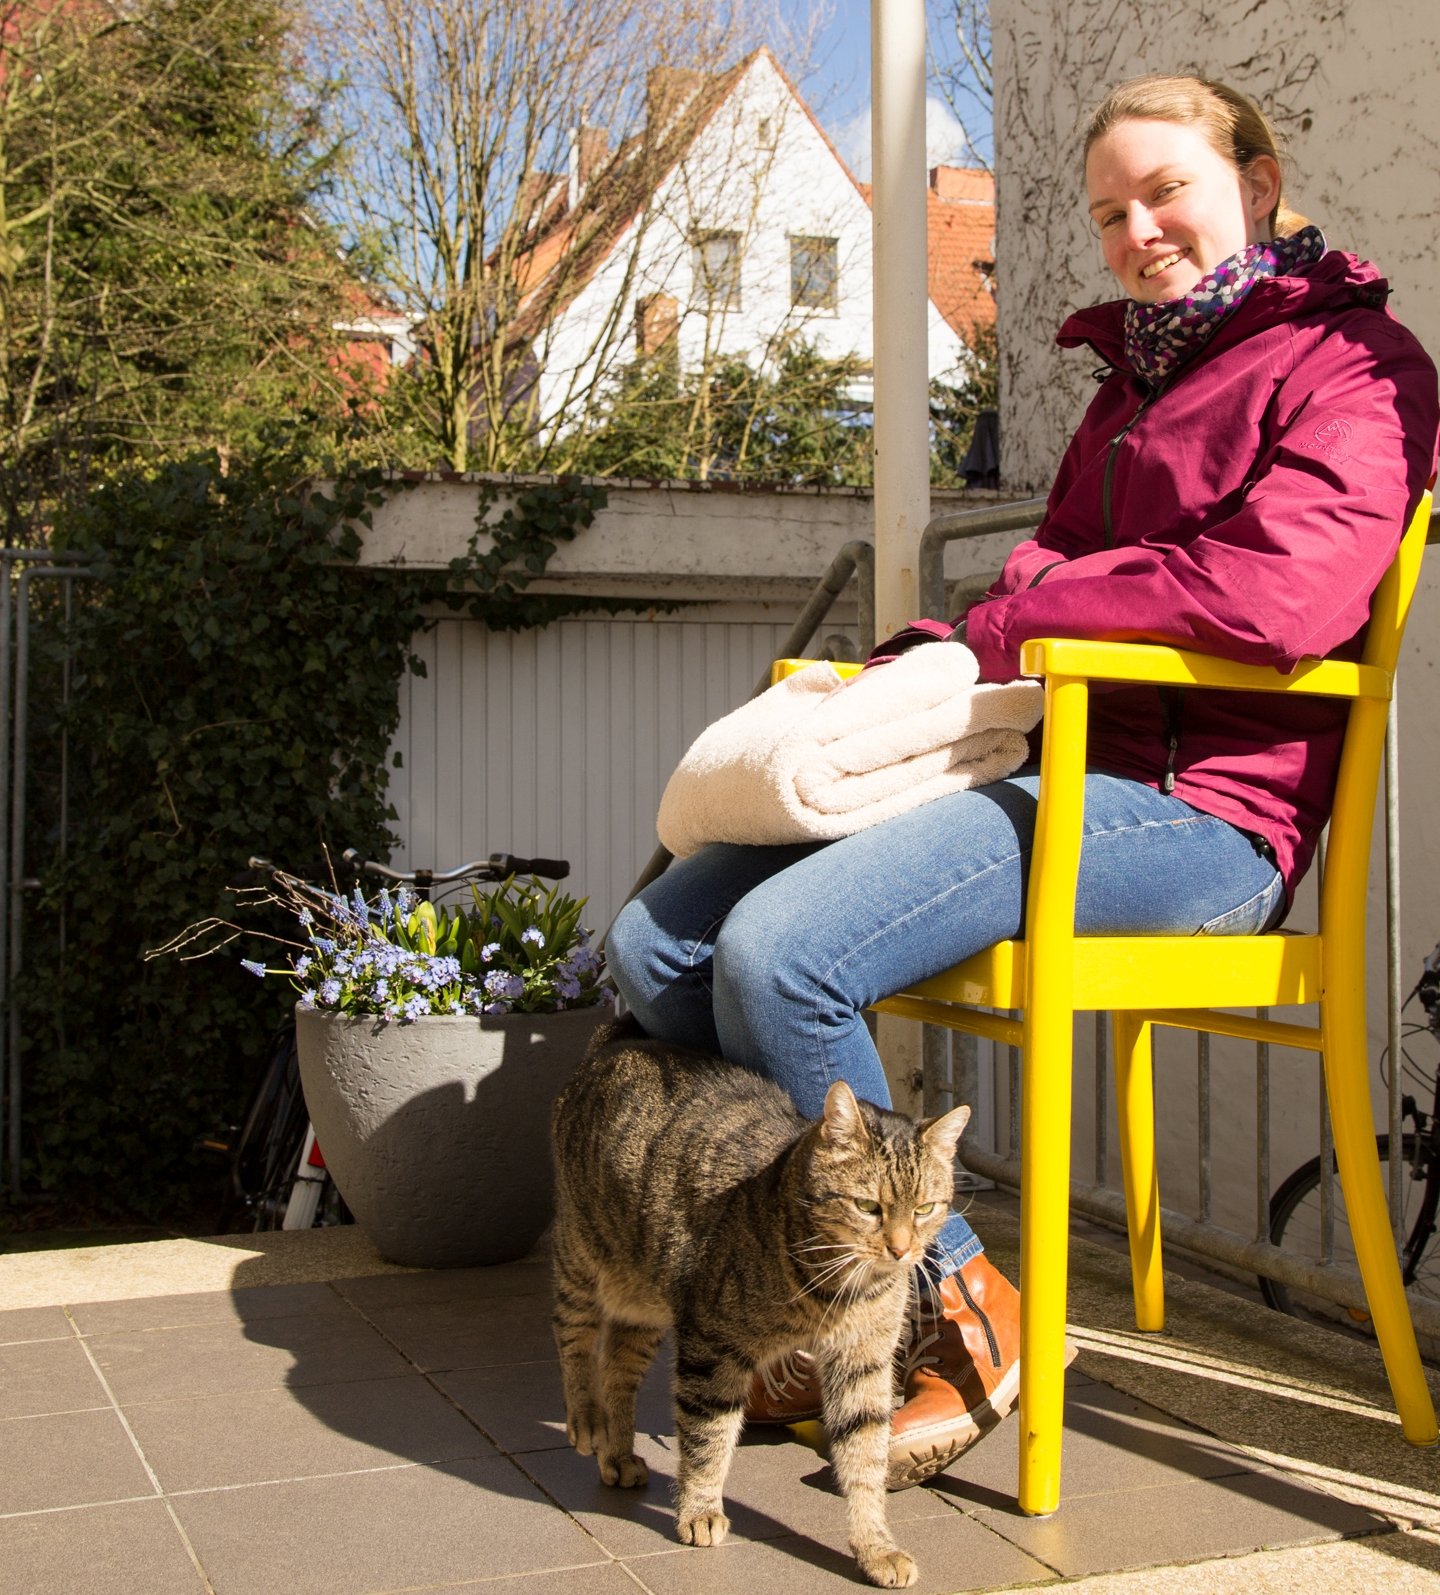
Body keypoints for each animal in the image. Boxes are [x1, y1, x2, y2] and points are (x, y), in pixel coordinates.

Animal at [551, 1014, 969, 1588]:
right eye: (868, 1207)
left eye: (925, 1208)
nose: (902, 1250)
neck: (836, 1285)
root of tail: (615, 1040)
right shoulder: (711, 1345)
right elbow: (708, 1437)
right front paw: (700, 1510)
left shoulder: (863, 1360)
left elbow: (865, 1457)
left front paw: (875, 1546)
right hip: (583, 1259)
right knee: (573, 1336)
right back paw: (588, 1421)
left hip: (646, 1294)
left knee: (617, 1363)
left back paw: (618, 1452)